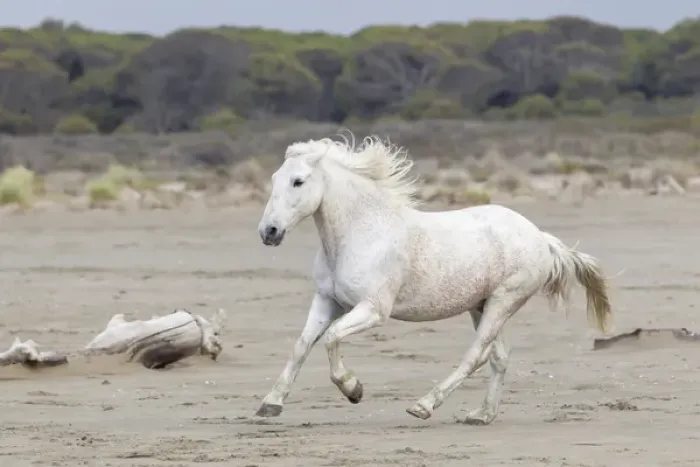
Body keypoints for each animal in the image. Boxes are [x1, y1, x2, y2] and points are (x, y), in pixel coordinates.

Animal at [254, 133, 613, 425]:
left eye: (298, 181)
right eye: (274, 179)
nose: (268, 232)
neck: (359, 234)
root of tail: (542, 238)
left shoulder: (373, 310)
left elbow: (331, 337)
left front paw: (353, 389)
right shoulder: (327, 300)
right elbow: (302, 345)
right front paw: (270, 404)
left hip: (504, 301)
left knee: (476, 355)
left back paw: (424, 406)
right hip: (481, 305)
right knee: (498, 357)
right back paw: (481, 415)